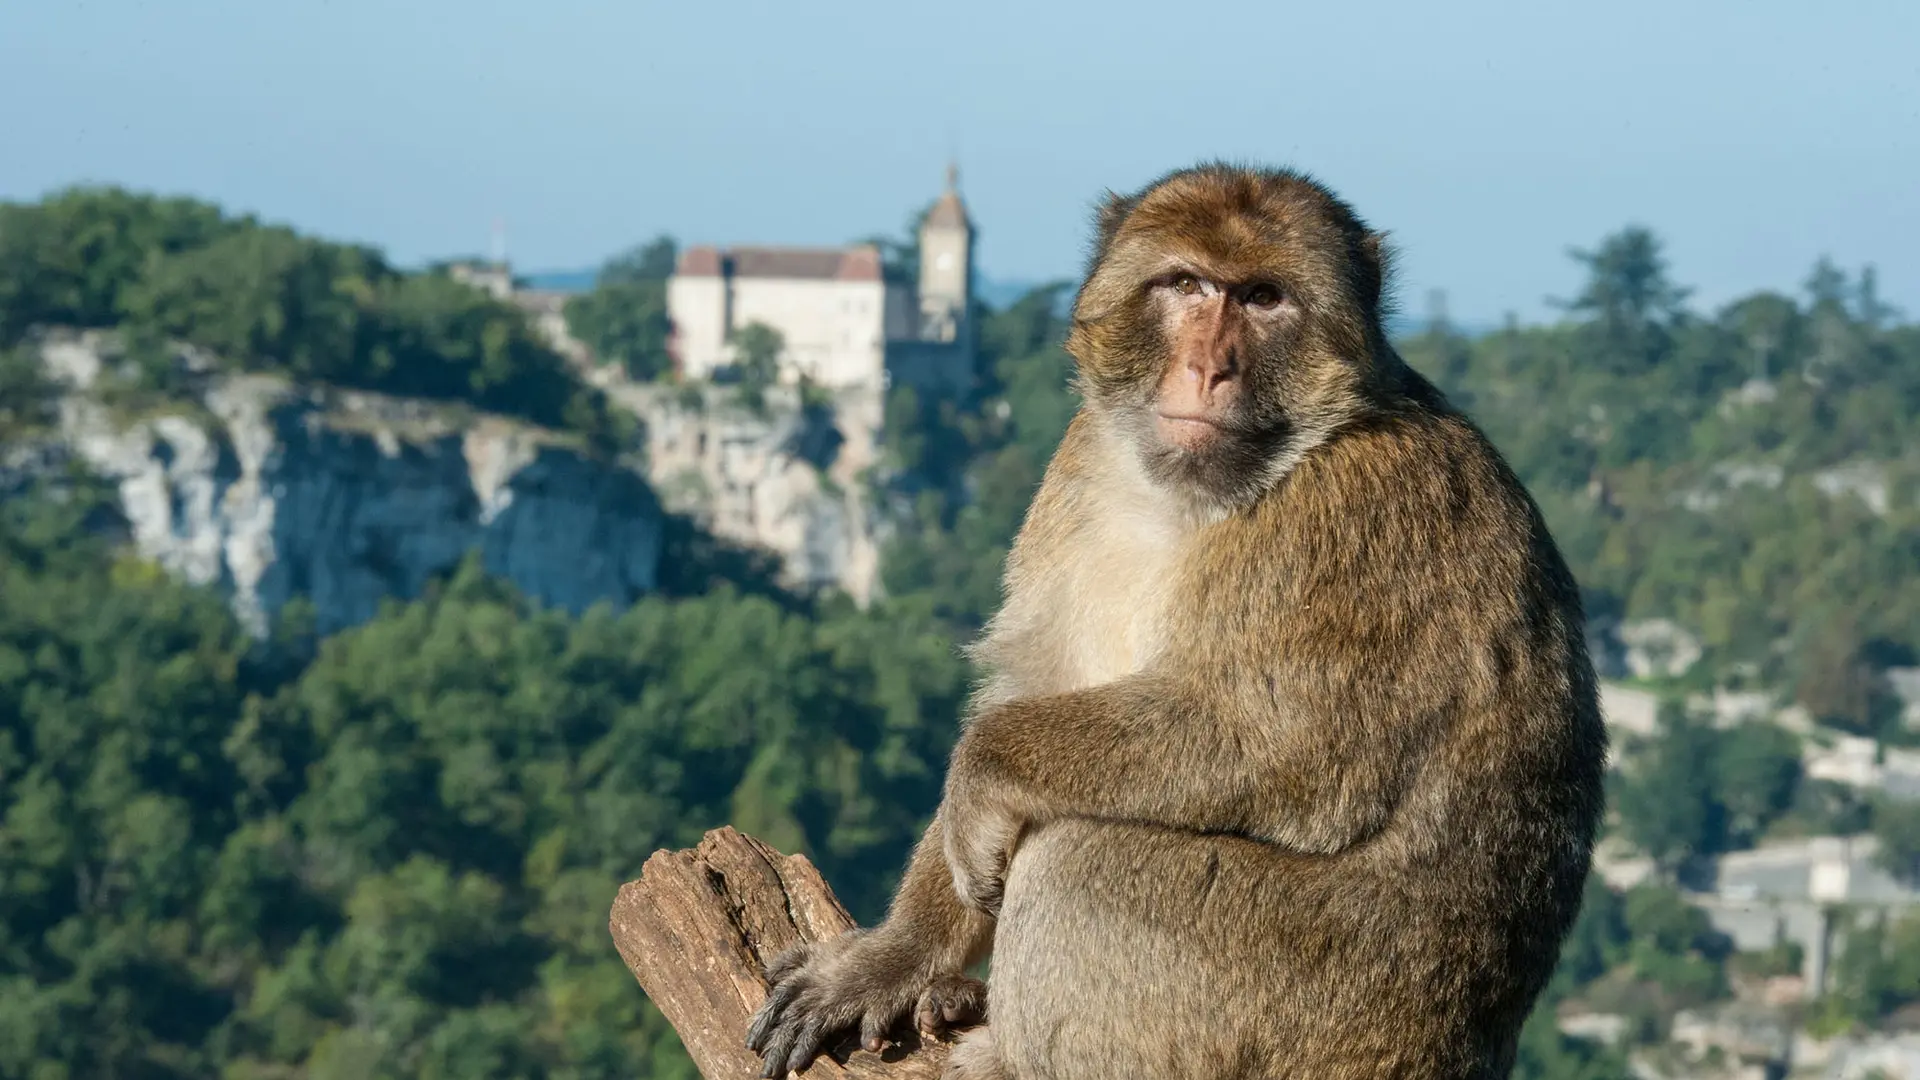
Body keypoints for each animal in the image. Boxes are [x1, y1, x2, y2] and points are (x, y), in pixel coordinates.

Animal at [744, 159, 1605, 1076]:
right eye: (1186, 285)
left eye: (1263, 298)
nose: (1209, 368)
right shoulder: (1079, 460)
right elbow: (1031, 685)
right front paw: (896, 955)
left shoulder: (1350, 519)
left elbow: (1273, 741)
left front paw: (981, 768)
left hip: (1297, 997)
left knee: (1081, 857)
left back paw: (1003, 1051)